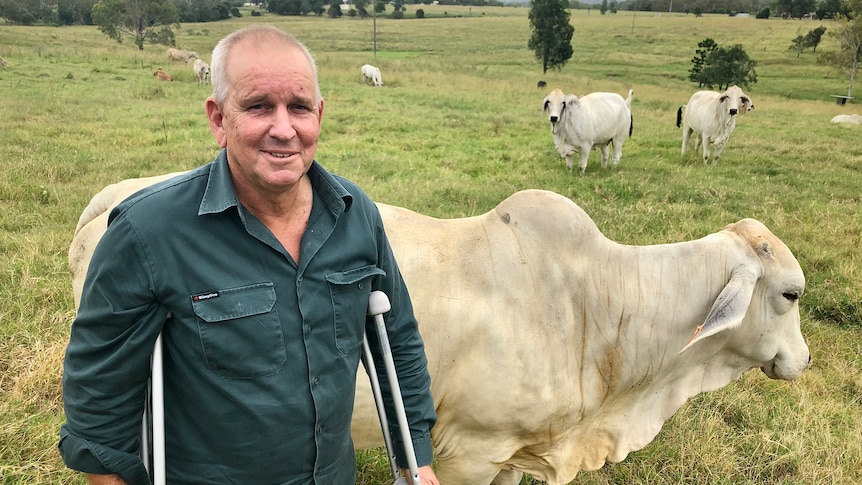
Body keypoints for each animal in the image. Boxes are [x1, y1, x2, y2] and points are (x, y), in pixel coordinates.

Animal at [69, 178, 808, 484]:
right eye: (791, 294)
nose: (802, 360)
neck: (598, 303)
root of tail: (105, 201)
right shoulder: (468, 455)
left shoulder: (516, 458)